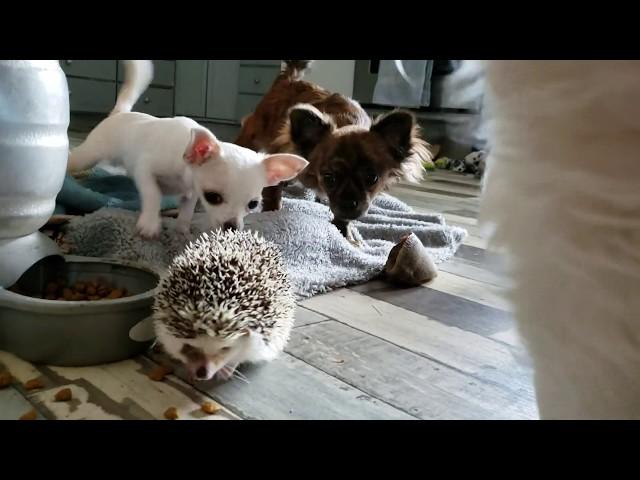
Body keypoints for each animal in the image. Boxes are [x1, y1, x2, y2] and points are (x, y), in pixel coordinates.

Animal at [69, 62, 308, 238]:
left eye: (253, 204)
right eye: (213, 197)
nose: (232, 226)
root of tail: (121, 112)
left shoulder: (191, 191)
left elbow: (187, 209)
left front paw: (182, 229)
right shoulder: (145, 169)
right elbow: (153, 193)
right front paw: (150, 223)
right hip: (90, 154)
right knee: (75, 158)